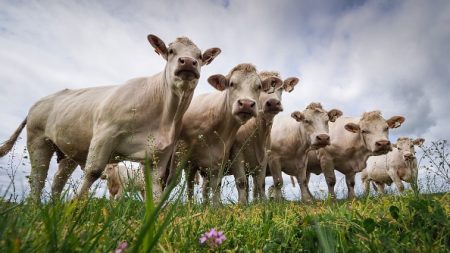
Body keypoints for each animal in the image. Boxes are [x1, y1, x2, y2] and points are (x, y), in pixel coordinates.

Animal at [0, 34, 221, 202]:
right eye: (171, 51)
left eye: (199, 56)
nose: (189, 63)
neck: (164, 116)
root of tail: (41, 101)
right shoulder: (105, 135)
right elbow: (93, 172)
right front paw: (75, 208)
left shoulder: (161, 152)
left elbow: (157, 186)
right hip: (38, 140)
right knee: (38, 179)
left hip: (70, 153)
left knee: (57, 182)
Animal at [229, 70, 298, 204]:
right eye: (259, 88)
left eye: (281, 88)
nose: (273, 103)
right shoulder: (237, 153)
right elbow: (241, 182)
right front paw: (241, 204)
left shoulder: (264, 157)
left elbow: (260, 184)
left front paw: (263, 203)